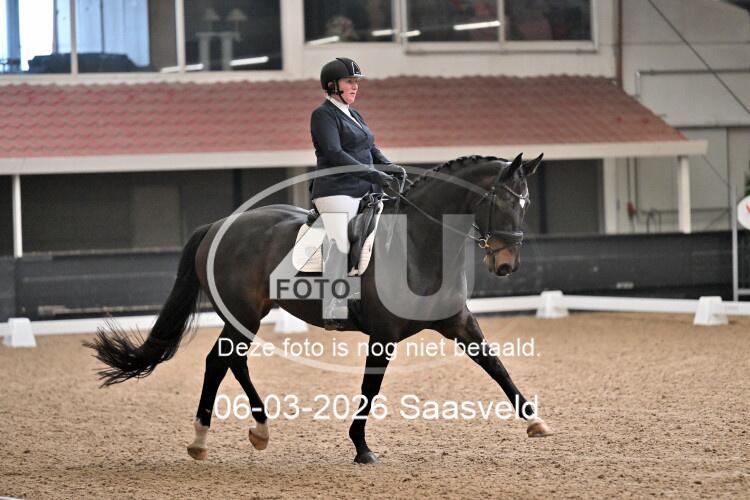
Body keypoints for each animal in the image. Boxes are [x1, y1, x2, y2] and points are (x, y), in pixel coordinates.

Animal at [86, 153, 551, 465]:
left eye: (526, 205)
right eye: (501, 202)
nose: (506, 266)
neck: (419, 244)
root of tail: (218, 226)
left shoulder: (459, 323)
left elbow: (496, 366)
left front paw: (535, 422)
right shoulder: (383, 335)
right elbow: (369, 388)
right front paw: (361, 447)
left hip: (247, 316)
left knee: (232, 361)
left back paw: (258, 431)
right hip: (244, 314)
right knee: (220, 361)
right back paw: (202, 441)